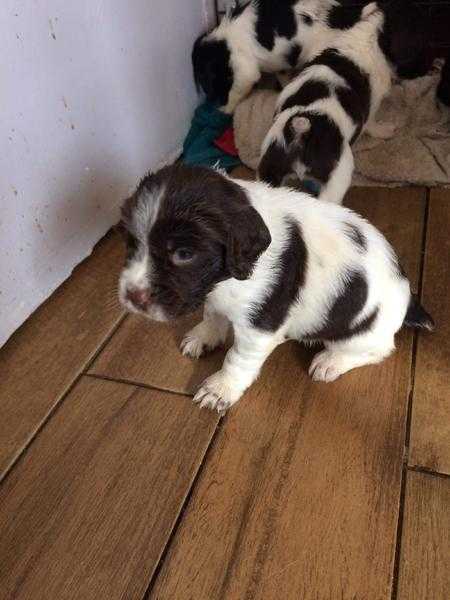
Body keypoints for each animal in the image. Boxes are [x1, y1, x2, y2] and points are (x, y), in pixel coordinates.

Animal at [118, 166, 432, 414]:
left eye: (183, 254)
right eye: (132, 242)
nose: (132, 297)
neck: (226, 281)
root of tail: (408, 299)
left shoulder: (259, 327)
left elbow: (236, 359)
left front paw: (220, 389)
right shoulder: (216, 296)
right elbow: (213, 314)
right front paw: (204, 336)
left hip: (360, 335)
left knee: (378, 350)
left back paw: (331, 362)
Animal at [256, 1, 394, 204]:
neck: (362, 35)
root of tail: (301, 130)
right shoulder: (372, 106)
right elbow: (373, 124)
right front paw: (385, 131)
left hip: (269, 170)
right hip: (338, 176)